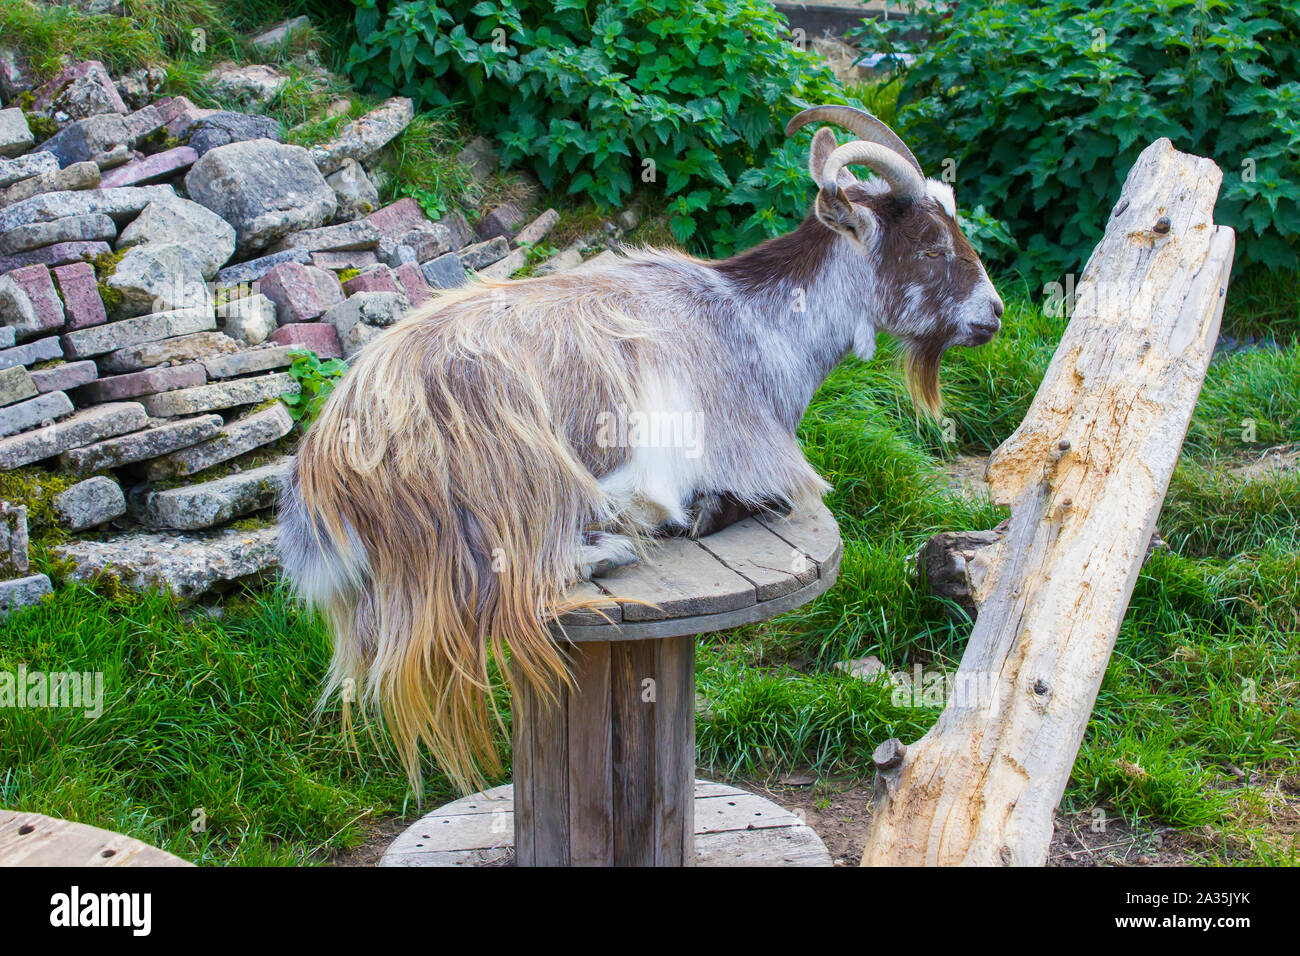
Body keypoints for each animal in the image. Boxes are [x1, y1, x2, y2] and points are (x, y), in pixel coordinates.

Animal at [276, 102, 1003, 790]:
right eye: (931, 245)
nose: (994, 313)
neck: (750, 324)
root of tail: (330, 469)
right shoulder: (757, 458)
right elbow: (762, 496)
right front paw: (692, 513)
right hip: (519, 462)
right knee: (518, 578)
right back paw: (615, 541)